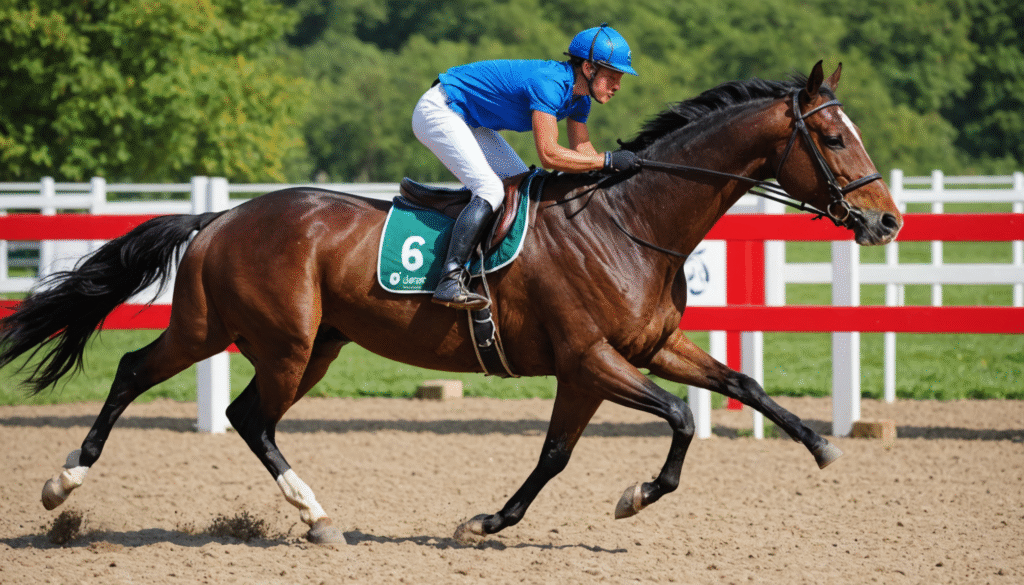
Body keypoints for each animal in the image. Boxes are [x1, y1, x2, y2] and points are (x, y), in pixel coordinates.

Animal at [0, 62, 901, 544]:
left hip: (291, 341)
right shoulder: (592, 359)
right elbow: (676, 417)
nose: (887, 219)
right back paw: (67, 484)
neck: (630, 221)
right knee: (180, 389)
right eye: (833, 136)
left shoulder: (631, 354)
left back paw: (307, 514)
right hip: (259, 335)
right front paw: (634, 494)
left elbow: (706, 397)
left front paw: (822, 444)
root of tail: (222, 216)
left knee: (212, 401)